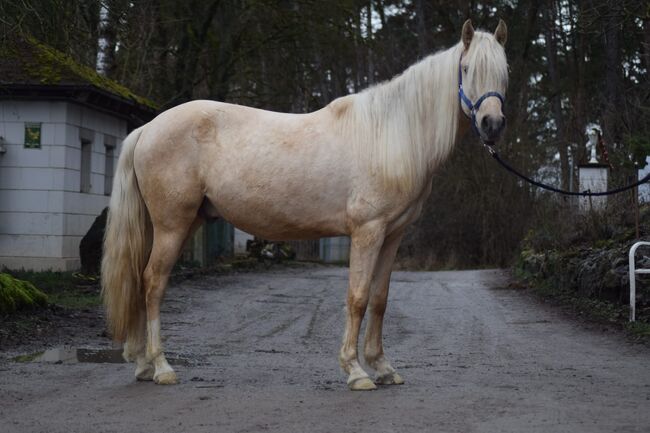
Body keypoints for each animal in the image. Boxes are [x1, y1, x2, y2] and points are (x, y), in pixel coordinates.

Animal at [101, 20, 506, 390]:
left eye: (504, 72)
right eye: (466, 69)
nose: (492, 124)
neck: (390, 135)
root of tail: (149, 128)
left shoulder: (393, 235)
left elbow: (379, 299)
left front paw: (383, 367)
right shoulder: (367, 232)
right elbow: (358, 297)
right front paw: (356, 371)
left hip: (174, 224)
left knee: (141, 280)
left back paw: (142, 364)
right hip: (172, 224)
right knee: (153, 282)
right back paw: (161, 367)